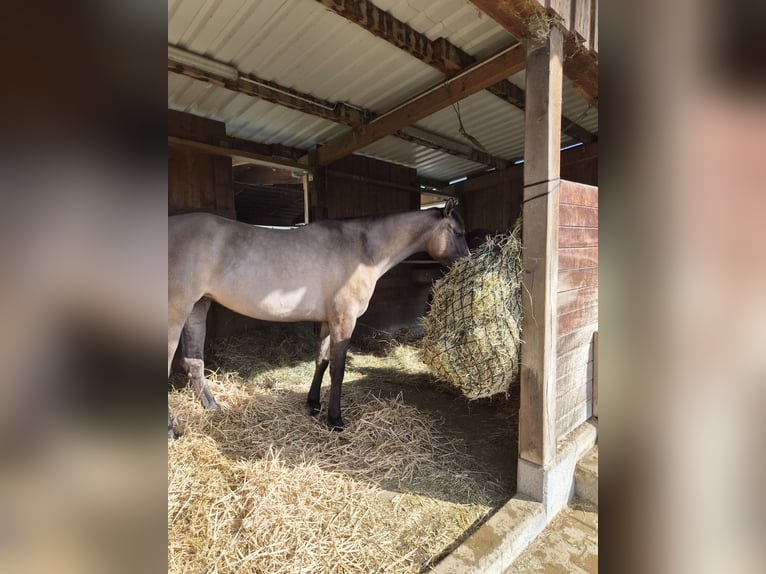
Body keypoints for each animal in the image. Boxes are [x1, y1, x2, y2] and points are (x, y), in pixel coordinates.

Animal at [167, 199, 469, 438]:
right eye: (458, 232)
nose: (466, 262)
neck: (362, 249)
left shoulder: (327, 321)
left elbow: (321, 362)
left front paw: (314, 404)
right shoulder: (344, 320)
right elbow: (338, 370)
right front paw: (335, 419)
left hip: (197, 307)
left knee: (193, 363)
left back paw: (212, 407)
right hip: (176, 312)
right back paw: (172, 429)